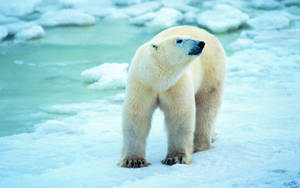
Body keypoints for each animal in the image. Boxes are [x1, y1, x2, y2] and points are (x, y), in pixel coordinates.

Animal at [118, 25, 226, 168]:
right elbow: (137, 115)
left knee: (207, 107)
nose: (201, 43)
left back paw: (200, 145)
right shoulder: (142, 84)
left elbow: (179, 115)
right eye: (179, 40)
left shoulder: (176, 83)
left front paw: (175, 158)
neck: (157, 79)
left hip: (211, 72)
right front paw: (133, 160)